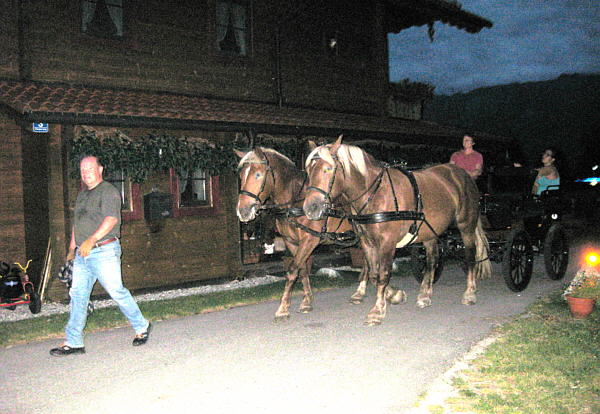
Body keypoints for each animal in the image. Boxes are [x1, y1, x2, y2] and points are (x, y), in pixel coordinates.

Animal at [236, 147, 404, 322]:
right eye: (241, 176)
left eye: (258, 174)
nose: (242, 211)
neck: (296, 201)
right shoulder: (292, 242)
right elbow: (302, 270)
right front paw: (307, 301)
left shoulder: (309, 240)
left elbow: (292, 271)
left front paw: (282, 309)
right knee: (367, 261)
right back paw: (360, 293)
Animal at [302, 137, 490, 326]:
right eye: (309, 170)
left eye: (328, 168)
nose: (310, 208)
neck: (375, 194)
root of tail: (462, 175)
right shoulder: (367, 242)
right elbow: (374, 273)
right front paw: (394, 295)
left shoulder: (387, 243)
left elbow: (384, 273)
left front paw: (377, 311)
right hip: (429, 233)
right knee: (431, 261)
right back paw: (425, 295)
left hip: (466, 226)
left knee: (470, 255)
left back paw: (469, 293)